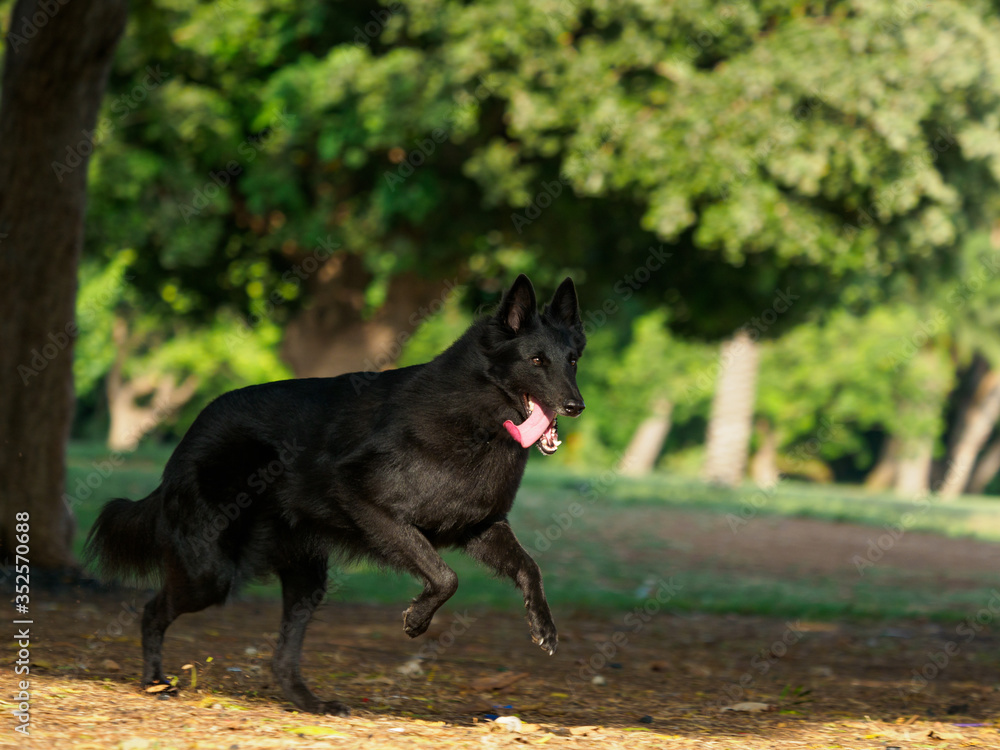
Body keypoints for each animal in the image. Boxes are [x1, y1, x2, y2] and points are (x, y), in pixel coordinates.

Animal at [88, 274, 584, 716]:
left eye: (573, 360)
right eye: (536, 361)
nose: (576, 406)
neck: (475, 422)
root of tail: (188, 438)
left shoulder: (480, 526)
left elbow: (528, 567)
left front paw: (543, 626)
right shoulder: (368, 504)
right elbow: (445, 577)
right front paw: (417, 619)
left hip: (306, 582)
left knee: (281, 657)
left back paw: (309, 704)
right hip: (209, 574)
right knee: (150, 611)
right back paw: (155, 682)